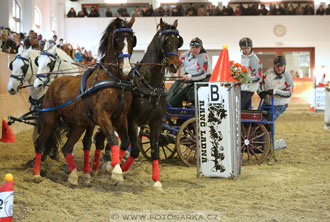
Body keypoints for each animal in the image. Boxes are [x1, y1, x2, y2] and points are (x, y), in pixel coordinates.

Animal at [33, 16, 137, 186]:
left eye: (132, 40)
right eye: (117, 40)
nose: (127, 69)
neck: (115, 80)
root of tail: (55, 82)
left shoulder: (120, 117)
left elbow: (125, 141)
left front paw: (111, 167)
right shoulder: (102, 115)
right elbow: (112, 138)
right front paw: (115, 171)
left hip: (78, 125)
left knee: (67, 148)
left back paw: (74, 175)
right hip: (49, 120)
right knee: (40, 144)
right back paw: (36, 174)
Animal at [94, 18, 183, 190]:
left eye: (178, 41)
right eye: (165, 41)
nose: (175, 65)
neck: (150, 84)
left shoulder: (156, 123)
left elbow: (155, 150)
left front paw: (157, 181)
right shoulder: (132, 122)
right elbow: (135, 149)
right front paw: (119, 169)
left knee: (102, 138)